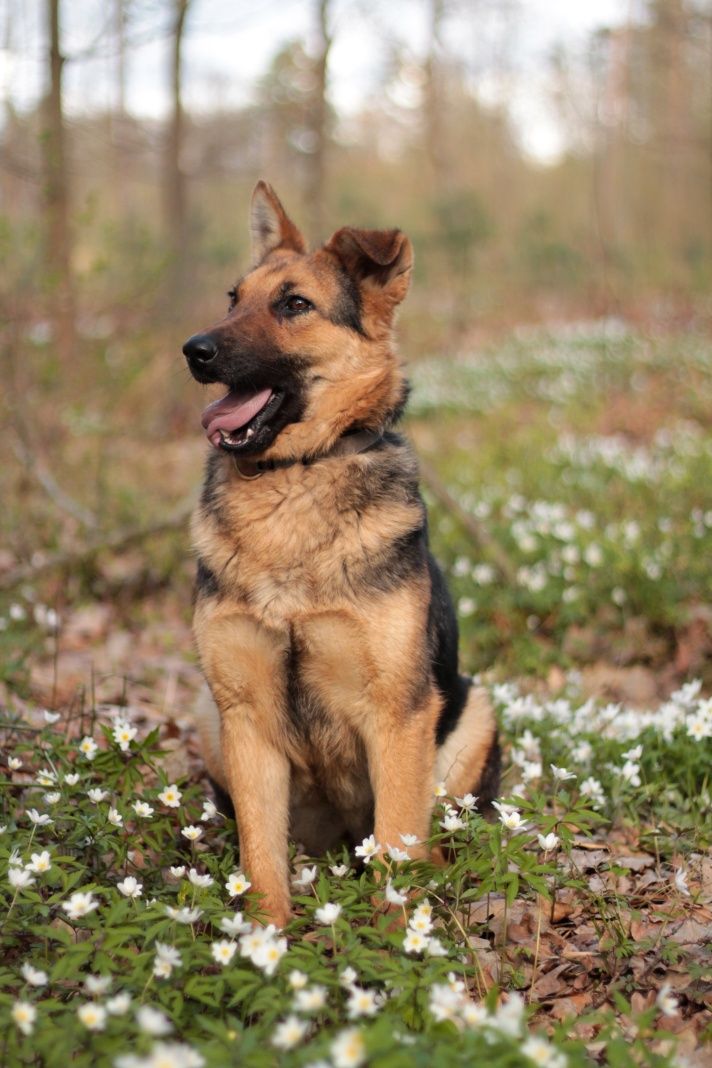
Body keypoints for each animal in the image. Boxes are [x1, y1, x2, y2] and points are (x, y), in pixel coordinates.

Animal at [181, 183, 499, 927]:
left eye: (294, 304)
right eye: (232, 297)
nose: (194, 349)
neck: (296, 476)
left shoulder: (399, 713)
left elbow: (397, 846)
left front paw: (396, 942)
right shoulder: (245, 715)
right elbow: (261, 859)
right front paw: (263, 940)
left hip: (472, 712)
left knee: (436, 833)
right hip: (211, 719)